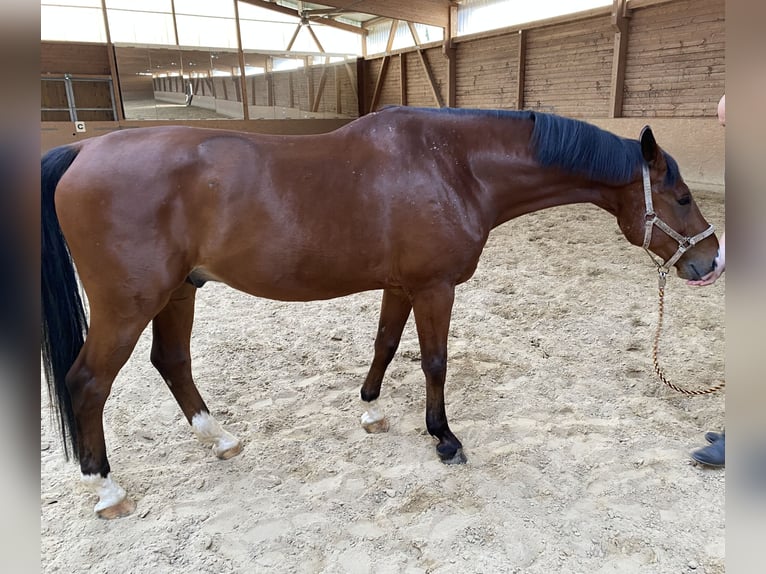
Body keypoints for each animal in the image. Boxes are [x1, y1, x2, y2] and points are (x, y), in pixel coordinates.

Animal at [41, 106, 718, 518]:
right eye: (682, 197)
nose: (709, 260)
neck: (454, 165)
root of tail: (81, 152)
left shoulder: (402, 285)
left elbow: (386, 345)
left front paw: (370, 412)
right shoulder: (435, 286)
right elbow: (435, 361)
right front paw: (444, 438)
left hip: (179, 290)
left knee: (171, 361)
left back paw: (222, 439)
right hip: (128, 303)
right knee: (89, 382)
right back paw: (105, 488)